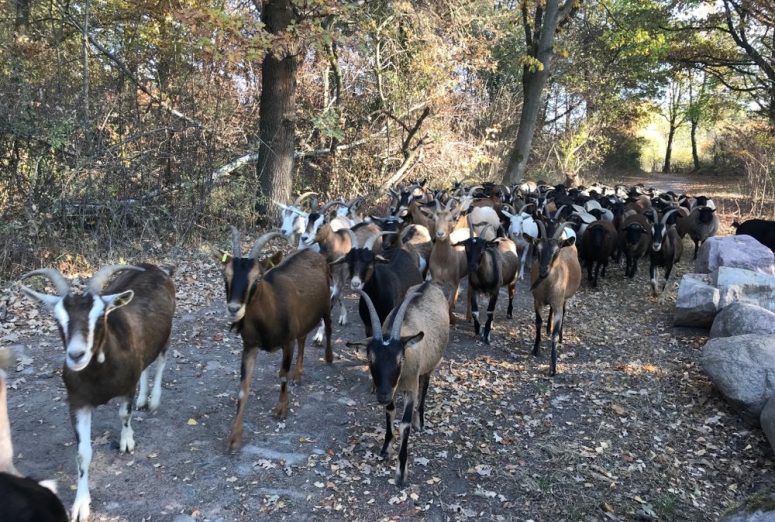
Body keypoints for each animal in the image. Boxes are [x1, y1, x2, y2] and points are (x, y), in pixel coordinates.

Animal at [20, 264, 175, 520]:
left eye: (101, 316)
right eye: (57, 319)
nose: (76, 355)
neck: (99, 375)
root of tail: (152, 267)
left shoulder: (127, 387)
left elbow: (124, 415)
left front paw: (126, 441)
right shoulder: (78, 402)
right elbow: (83, 453)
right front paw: (80, 505)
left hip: (166, 334)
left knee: (161, 360)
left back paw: (153, 400)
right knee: (145, 365)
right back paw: (144, 399)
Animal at [346, 282, 448, 486]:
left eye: (400, 358)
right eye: (370, 358)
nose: (382, 396)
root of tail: (429, 283)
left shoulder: (410, 388)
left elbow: (405, 424)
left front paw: (401, 473)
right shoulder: (390, 389)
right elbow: (390, 412)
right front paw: (386, 448)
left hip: (430, 366)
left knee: (425, 387)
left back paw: (420, 421)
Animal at [528, 219, 584, 374]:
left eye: (555, 252)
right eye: (538, 250)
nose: (543, 271)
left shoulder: (558, 302)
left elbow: (555, 330)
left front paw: (553, 367)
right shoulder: (537, 300)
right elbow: (538, 322)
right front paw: (536, 349)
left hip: (564, 298)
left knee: (564, 312)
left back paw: (560, 337)